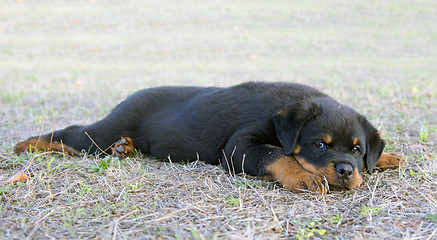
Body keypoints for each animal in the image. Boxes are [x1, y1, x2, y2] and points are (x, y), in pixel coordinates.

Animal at [13, 82, 402, 193]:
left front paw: (383, 157)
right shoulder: (239, 146)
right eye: (319, 144)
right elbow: (276, 154)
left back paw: (125, 149)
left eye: (357, 150)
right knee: (72, 135)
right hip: (99, 135)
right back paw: (25, 145)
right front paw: (303, 176)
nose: (346, 171)